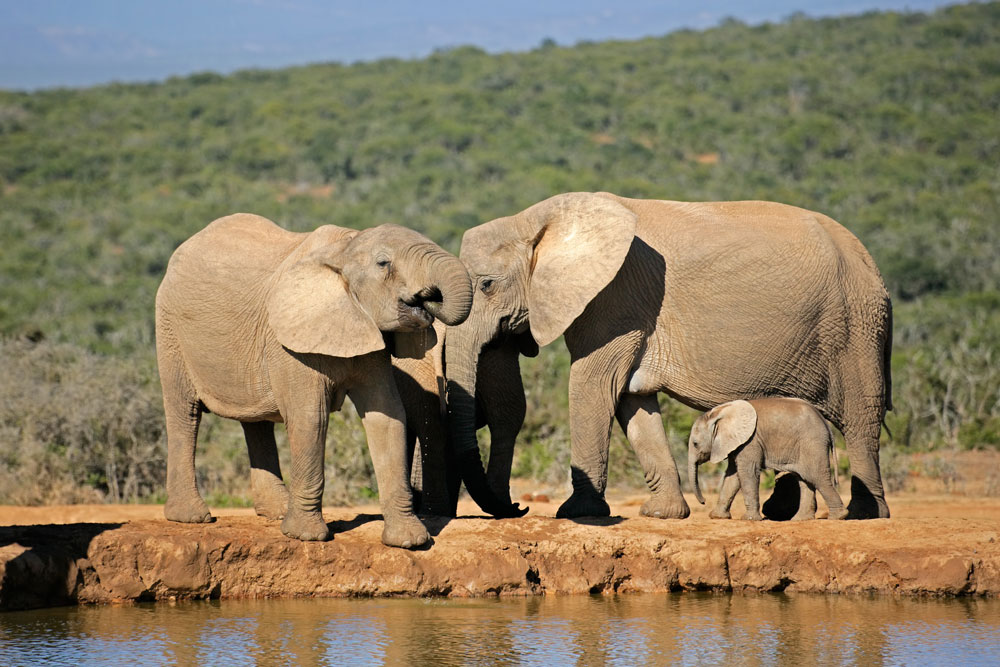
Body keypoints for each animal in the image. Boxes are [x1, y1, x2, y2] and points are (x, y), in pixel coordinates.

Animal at [153, 215, 472, 548]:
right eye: (383, 263)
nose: (428, 299)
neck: (344, 247)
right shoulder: (290, 343)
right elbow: (311, 418)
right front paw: (307, 537)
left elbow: (388, 416)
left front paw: (410, 542)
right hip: (170, 328)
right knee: (185, 412)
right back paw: (190, 517)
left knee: (254, 421)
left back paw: (277, 511)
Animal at [692, 396, 848, 520]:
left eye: (695, 444)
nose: (703, 501)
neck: (719, 412)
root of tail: (826, 425)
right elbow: (733, 476)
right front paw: (717, 517)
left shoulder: (751, 441)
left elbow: (747, 473)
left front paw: (749, 519)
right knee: (805, 479)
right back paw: (800, 519)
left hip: (812, 444)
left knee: (818, 477)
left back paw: (838, 517)